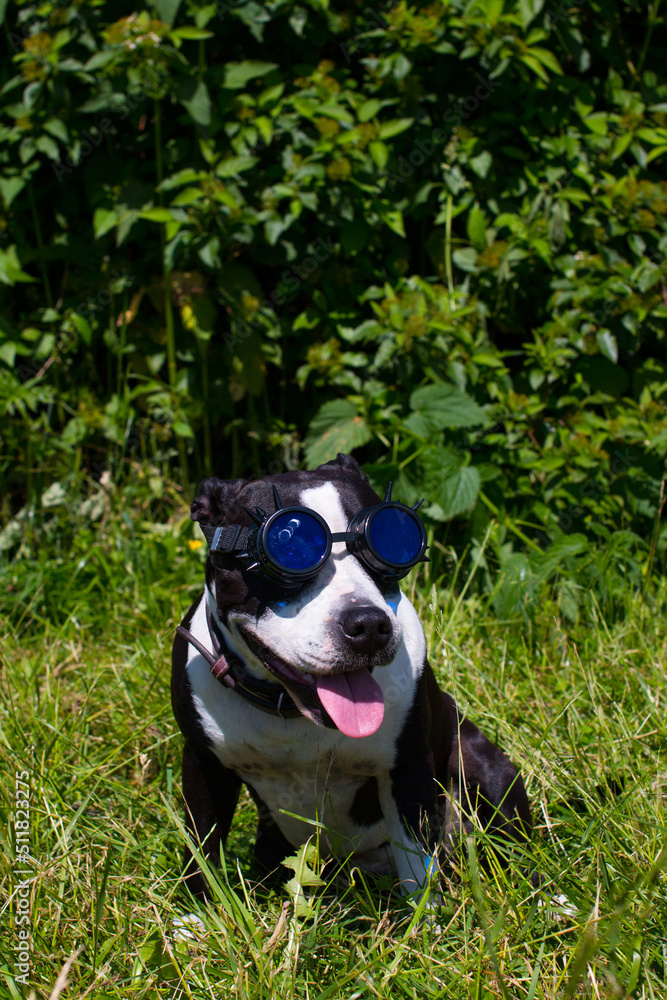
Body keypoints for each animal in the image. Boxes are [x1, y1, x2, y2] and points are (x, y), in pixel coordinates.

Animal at [172, 454, 532, 900]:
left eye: (393, 541)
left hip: (483, 769)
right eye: (289, 546)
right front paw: (199, 912)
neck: (289, 712)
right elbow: (202, 849)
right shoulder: (203, 765)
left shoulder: (407, 770)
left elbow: (417, 865)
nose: (368, 624)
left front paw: (424, 917)